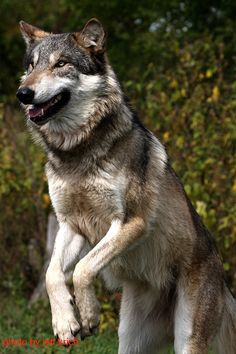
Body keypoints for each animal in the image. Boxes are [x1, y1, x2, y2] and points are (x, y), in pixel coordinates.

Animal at [17, 19, 236, 354]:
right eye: (31, 66)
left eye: (61, 64)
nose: (23, 93)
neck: (76, 151)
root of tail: (223, 281)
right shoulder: (71, 225)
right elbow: (53, 274)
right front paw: (65, 323)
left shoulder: (131, 222)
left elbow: (82, 270)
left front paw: (89, 315)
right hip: (129, 340)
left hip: (187, 339)